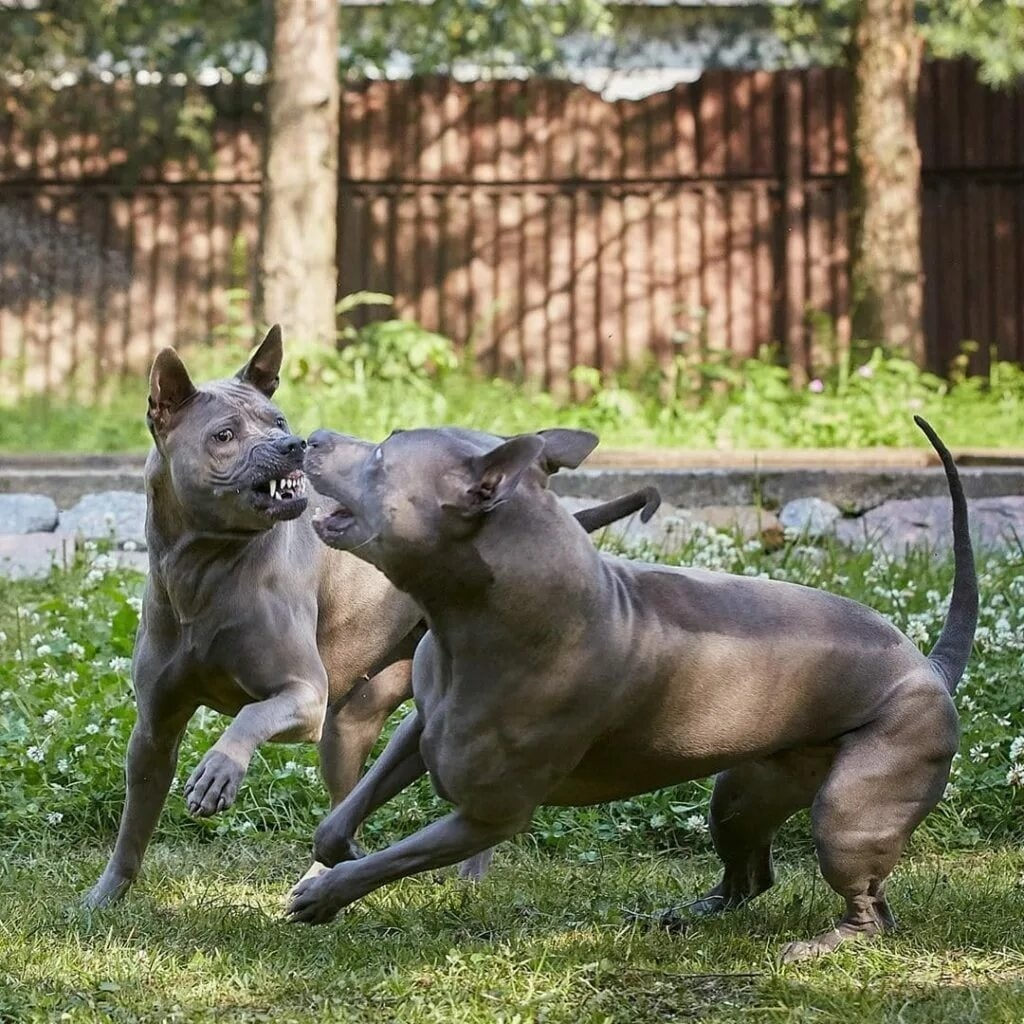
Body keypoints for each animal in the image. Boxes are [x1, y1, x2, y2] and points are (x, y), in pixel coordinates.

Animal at [81, 325, 655, 905]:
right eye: (224, 435)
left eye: (278, 421)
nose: (293, 445)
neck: (203, 572)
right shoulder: (153, 731)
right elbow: (134, 825)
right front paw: (104, 898)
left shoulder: (304, 697)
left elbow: (250, 715)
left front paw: (220, 769)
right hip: (349, 724)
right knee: (344, 803)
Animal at [288, 415, 974, 958]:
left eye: (383, 454)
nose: (309, 437)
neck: (475, 618)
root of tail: (929, 667)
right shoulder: (421, 727)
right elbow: (342, 817)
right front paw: (337, 853)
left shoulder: (488, 818)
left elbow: (394, 858)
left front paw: (326, 893)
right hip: (743, 795)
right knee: (748, 878)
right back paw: (687, 915)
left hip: (849, 814)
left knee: (873, 910)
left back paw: (822, 943)